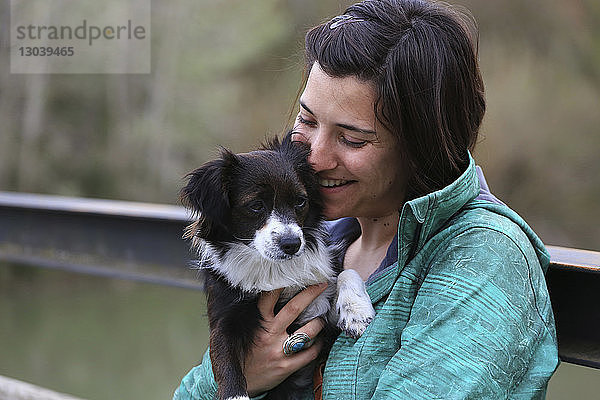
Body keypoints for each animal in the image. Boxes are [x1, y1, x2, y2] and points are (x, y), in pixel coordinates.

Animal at [179, 135, 376, 400]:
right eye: (256, 205)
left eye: (300, 201)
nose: (292, 244)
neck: (273, 268)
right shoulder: (224, 320)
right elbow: (225, 363)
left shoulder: (320, 315)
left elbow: (346, 271)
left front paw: (356, 312)